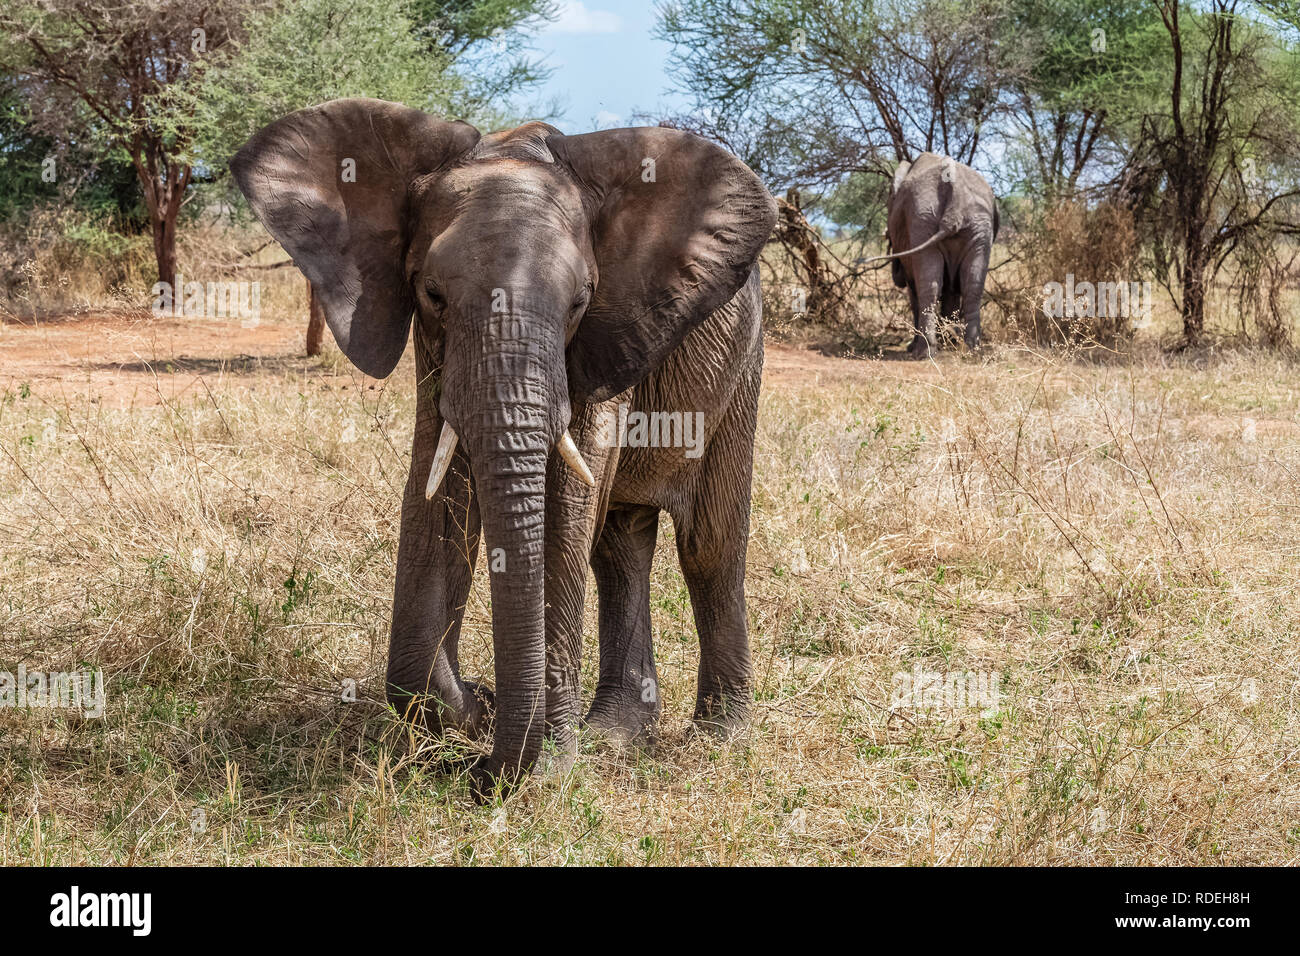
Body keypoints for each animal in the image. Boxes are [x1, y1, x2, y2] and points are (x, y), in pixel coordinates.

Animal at [231, 98, 777, 795]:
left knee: (709, 543)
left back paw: (718, 739)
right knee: (621, 544)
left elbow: (566, 504)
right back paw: (617, 733)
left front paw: (546, 767)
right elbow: (439, 483)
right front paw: (473, 715)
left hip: (743, 364)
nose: (478, 772)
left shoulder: (606, 334)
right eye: (432, 293)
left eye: (581, 301)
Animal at [867, 152, 998, 357]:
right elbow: (952, 290)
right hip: (976, 223)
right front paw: (949, 342)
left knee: (928, 286)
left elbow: (915, 289)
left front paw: (921, 345)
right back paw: (971, 349)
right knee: (973, 284)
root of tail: (956, 189)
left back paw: (923, 352)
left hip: (923, 219)